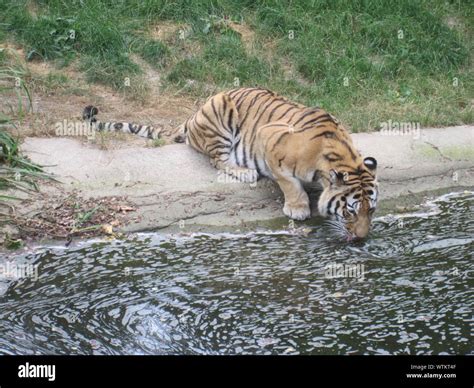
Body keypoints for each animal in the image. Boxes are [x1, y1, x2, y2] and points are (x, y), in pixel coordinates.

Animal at [81, 87, 378, 239]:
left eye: (371, 211)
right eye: (350, 211)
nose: (362, 238)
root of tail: (192, 116)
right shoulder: (269, 140)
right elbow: (288, 182)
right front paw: (298, 208)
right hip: (220, 114)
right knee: (216, 160)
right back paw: (245, 172)